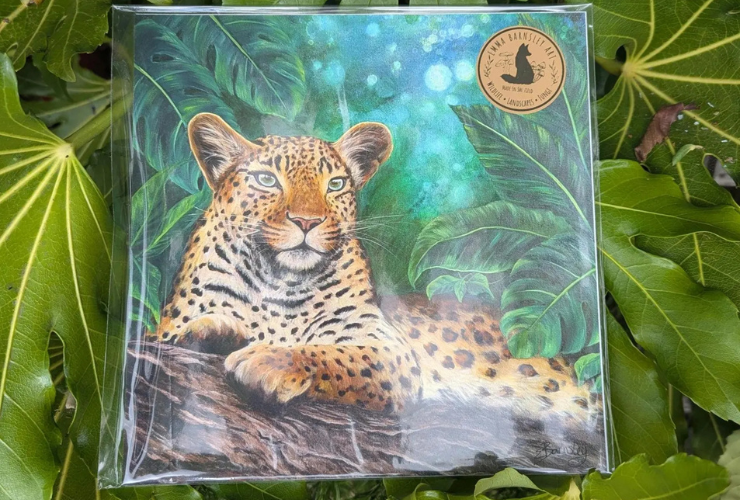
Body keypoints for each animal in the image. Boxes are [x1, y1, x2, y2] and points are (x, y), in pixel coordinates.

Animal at [152, 112, 600, 425]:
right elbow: (179, 332)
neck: (280, 281)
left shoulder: (388, 349)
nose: (307, 222)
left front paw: (270, 361)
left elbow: (327, 354)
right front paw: (213, 332)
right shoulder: (166, 325)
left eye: (335, 185)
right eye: (266, 180)